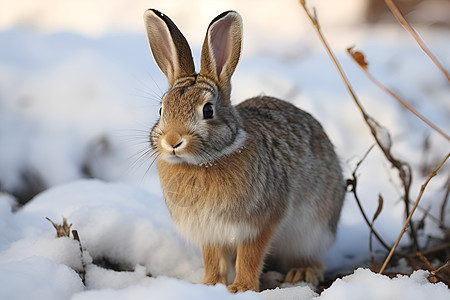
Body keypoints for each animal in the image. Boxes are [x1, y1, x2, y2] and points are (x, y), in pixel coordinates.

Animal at [143, 9, 344, 292]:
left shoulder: (258, 223)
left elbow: (250, 256)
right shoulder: (209, 231)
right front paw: (210, 285)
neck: (204, 161)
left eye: (208, 110)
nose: (172, 141)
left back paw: (302, 272)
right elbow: (212, 258)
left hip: (313, 229)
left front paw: (241, 288)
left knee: (310, 257)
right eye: (162, 110)